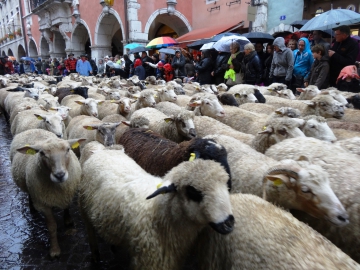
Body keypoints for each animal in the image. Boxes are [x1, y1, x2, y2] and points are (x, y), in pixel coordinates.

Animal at [10, 129, 83, 258]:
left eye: (68, 149)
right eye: (42, 153)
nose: (59, 175)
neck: (58, 188)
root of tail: (33, 129)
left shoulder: (67, 193)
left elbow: (66, 207)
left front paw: (68, 220)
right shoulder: (43, 204)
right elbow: (51, 227)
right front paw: (54, 250)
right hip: (30, 187)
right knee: (30, 195)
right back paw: (32, 208)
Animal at [79, 150, 233, 268]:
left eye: (225, 184)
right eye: (193, 192)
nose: (229, 223)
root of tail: (100, 151)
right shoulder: (149, 260)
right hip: (84, 207)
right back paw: (95, 257)